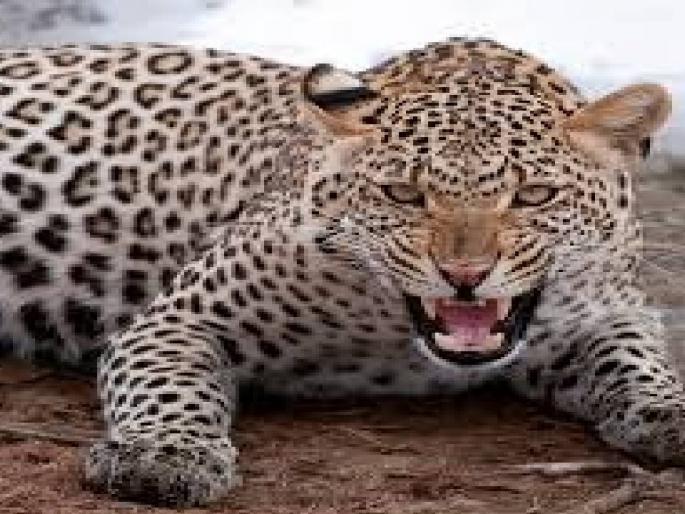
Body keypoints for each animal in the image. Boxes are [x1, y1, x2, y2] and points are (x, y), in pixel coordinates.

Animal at [0, 37, 680, 507]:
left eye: (535, 194)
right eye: (404, 194)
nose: (464, 273)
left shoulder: (608, 312)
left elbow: (636, 362)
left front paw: (670, 413)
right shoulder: (179, 319)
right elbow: (171, 386)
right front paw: (164, 456)